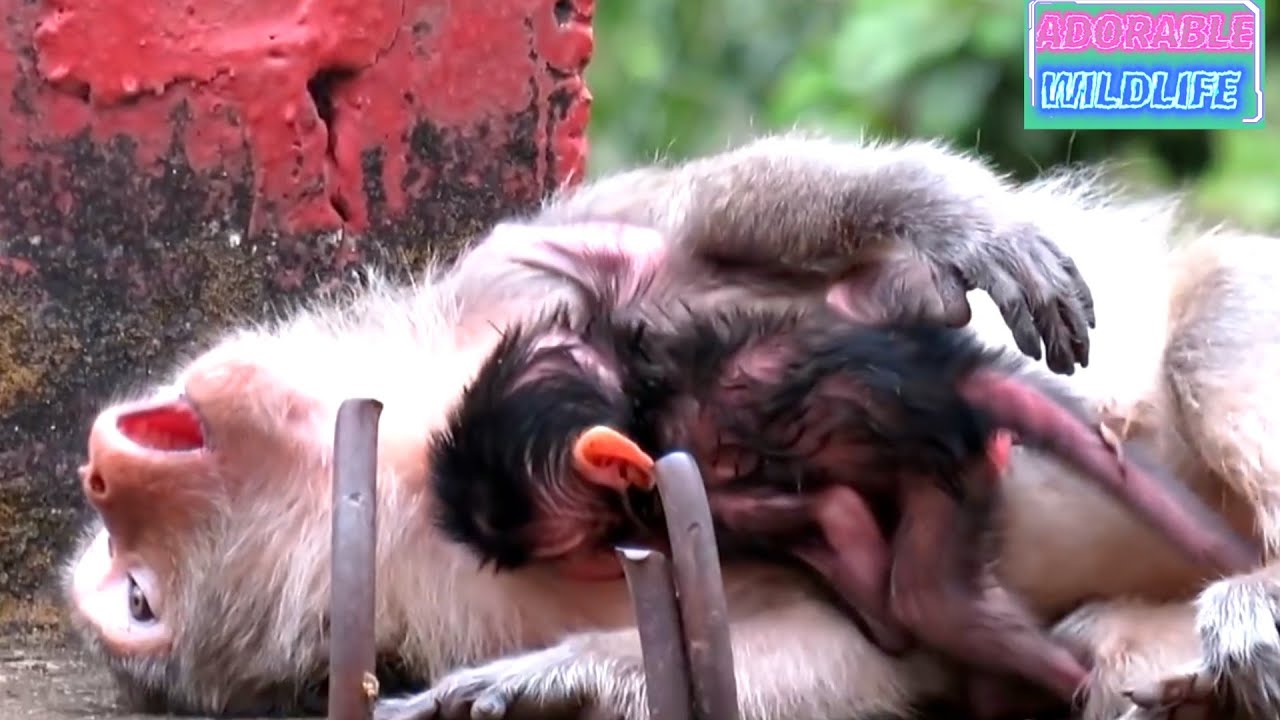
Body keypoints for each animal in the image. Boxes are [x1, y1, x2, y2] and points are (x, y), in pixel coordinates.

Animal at [428, 289, 1260, 711]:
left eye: (582, 547)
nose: (601, 563)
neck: (640, 402)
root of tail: (947, 374)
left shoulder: (692, 480)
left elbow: (842, 539)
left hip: (946, 469)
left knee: (928, 601)